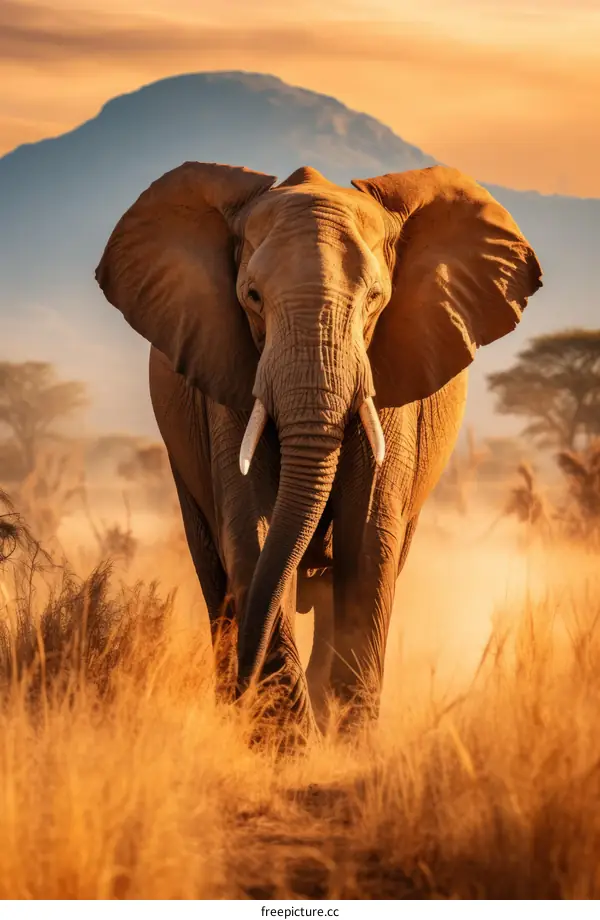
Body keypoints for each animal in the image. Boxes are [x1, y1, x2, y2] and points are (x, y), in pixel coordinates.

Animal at [95, 162, 542, 738]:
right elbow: (250, 529)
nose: (242, 684)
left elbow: (368, 539)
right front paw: (287, 745)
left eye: (375, 299)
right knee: (214, 570)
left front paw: (345, 743)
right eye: (252, 297)